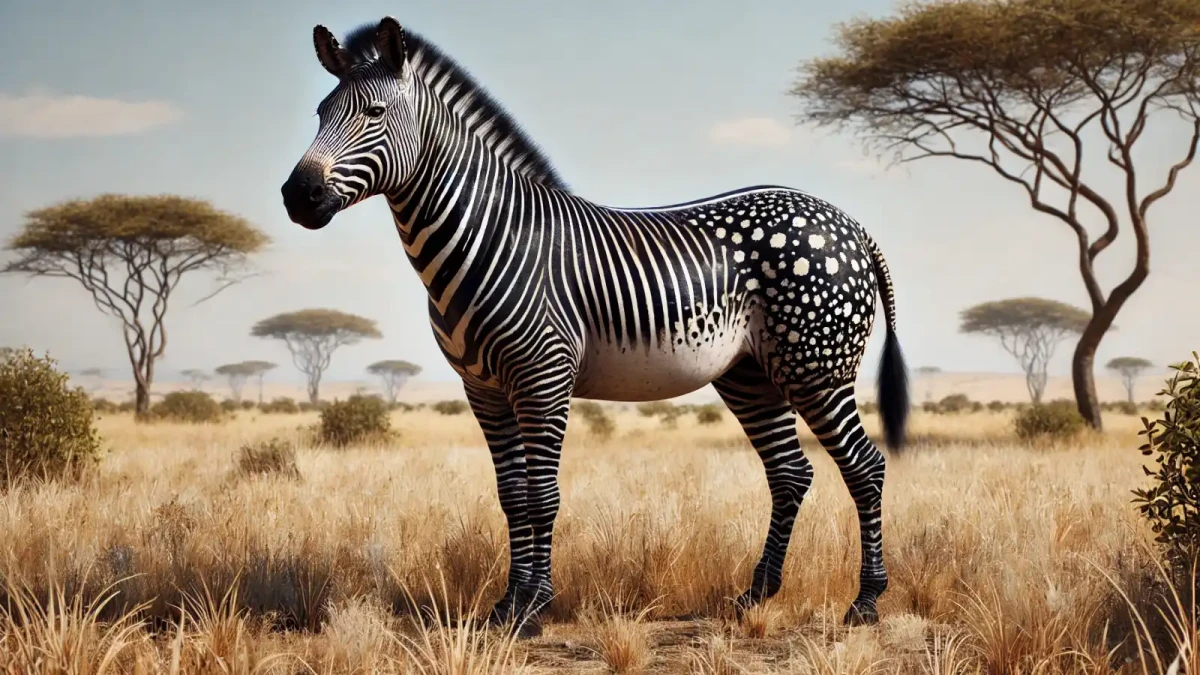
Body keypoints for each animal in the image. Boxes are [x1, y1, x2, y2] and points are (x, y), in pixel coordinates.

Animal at [281, 17, 910, 637]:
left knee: (865, 466)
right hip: (749, 373)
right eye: (319, 112)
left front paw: (533, 608)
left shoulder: (543, 376)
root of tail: (850, 223)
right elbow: (512, 495)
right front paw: (506, 605)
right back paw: (755, 594)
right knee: (790, 472)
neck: (487, 237)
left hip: (817, 367)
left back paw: (866, 602)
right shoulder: (483, 388)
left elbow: (541, 495)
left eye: (374, 113)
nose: (297, 196)